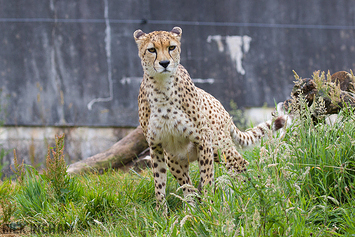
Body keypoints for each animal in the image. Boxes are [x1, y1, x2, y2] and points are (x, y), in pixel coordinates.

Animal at [134, 26, 286, 210]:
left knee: (241, 164)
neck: (162, 87)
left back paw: (249, 194)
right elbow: (160, 183)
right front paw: (163, 212)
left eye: (171, 47)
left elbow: (207, 176)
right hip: (174, 157)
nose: (164, 63)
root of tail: (221, 106)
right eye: (151, 50)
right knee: (189, 182)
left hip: (219, 147)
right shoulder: (156, 146)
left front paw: (209, 206)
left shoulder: (203, 139)